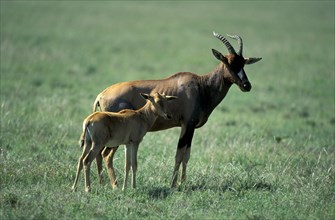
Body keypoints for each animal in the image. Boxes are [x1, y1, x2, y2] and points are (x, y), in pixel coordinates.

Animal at [94, 31, 262, 187]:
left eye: (243, 63)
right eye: (228, 62)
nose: (247, 85)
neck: (201, 86)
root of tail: (101, 95)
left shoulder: (190, 127)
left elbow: (186, 155)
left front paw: (183, 182)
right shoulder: (187, 124)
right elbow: (179, 154)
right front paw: (174, 184)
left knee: (99, 154)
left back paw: (103, 184)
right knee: (106, 155)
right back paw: (114, 185)